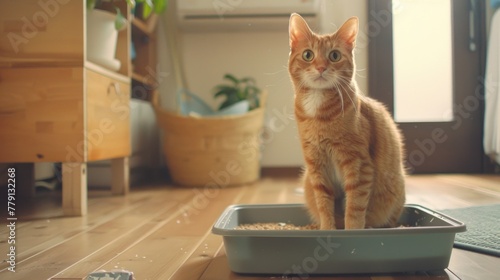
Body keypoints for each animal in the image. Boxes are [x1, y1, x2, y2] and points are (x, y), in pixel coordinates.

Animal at [290, 13, 406, 230]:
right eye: (308, 55)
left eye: (334, 56)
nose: (321, 67)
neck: (318, 114)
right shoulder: (316, 166)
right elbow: (324, 205)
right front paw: (327, 229)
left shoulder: (358, 165)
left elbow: (354, 207)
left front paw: (352, 230)